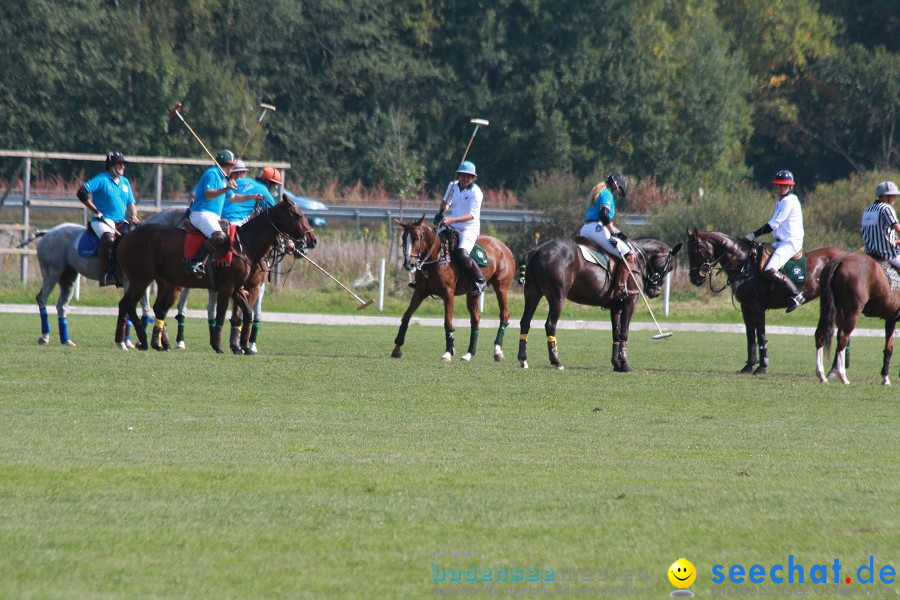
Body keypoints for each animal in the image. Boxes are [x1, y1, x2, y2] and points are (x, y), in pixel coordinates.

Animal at [115, 198, 316, 352]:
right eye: (298, 215)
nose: (312, 240)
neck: (245, 245)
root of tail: (126, 236)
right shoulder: (228, 287)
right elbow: (221, 314)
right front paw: (219, 346)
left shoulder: (239, 288)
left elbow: (246, 314)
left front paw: (242, 346)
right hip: (143, 278)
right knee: (132, 304)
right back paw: (143, 340)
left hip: (156, 281)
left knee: (138, 305)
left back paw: (151, 342)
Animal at [392, 218, 512, 364]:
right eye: (404, 238)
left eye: (416, 238)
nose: (409, 264)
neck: (437, 255)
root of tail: (503, 246)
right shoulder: (420, 291)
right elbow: (406, 316)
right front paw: (397, 348)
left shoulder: (448, 293)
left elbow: (448, 322)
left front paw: (448, 352)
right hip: (472, 294)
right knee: (476, 318)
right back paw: (469, 354)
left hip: (501, 288)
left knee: (504, 314)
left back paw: (497, 351)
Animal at [516, 236, 680, 370]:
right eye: (669, 267)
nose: (655, 291)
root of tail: (537, 250)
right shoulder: (630, 303)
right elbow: (624, 332)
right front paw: (624, 363)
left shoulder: (616, 307)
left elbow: (616, 333)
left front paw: (616, 363)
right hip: (557, 298)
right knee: (550, 325)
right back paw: (556, 361)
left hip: (532, 293)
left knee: (525, 322)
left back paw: (523, 360)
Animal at [684, 230, 848, 376]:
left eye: (697, 250)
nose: (694, 279)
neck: (744, 264)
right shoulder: (746, 306)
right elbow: (750, 336)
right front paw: (749, 365)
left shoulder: (757, 306)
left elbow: (761, 334)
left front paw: (762, 366)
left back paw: (834, 370)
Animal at [812, 253, 900, 384]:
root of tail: (841, 260)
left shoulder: (890, 319)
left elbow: (889, 348)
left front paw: (885, 378)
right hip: (853, 312)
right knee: (843, 337)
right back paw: (843, 376)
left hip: (833, 309)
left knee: (821, 334)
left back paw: (822, 375)